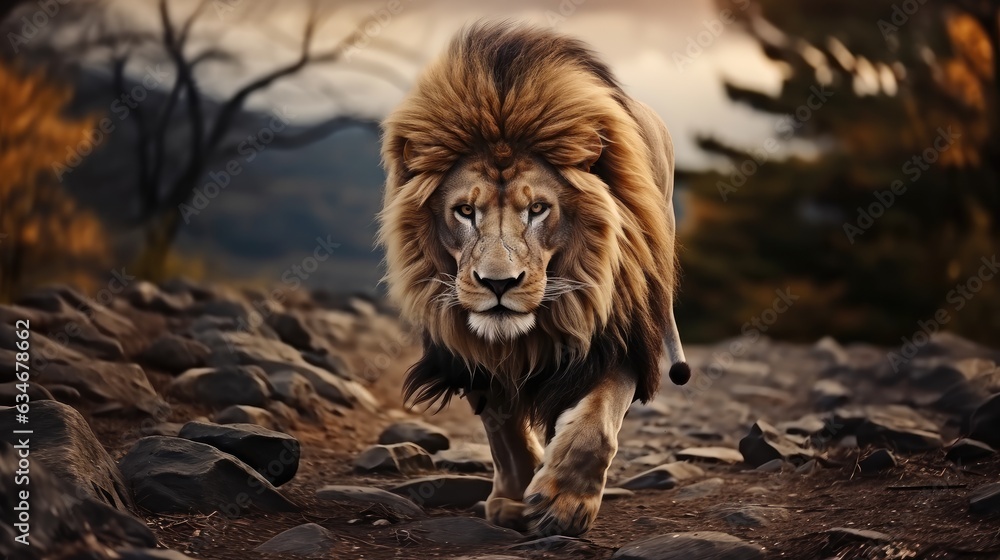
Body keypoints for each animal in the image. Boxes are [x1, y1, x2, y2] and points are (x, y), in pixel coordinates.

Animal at [377, 22, 689, 536]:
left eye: (538, 209)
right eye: (465, 211)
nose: (498, 284)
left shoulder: (620, 332)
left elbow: (597, 424)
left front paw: (564, 501)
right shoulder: (469, 351)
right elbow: (504, 429)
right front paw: (515, 499)